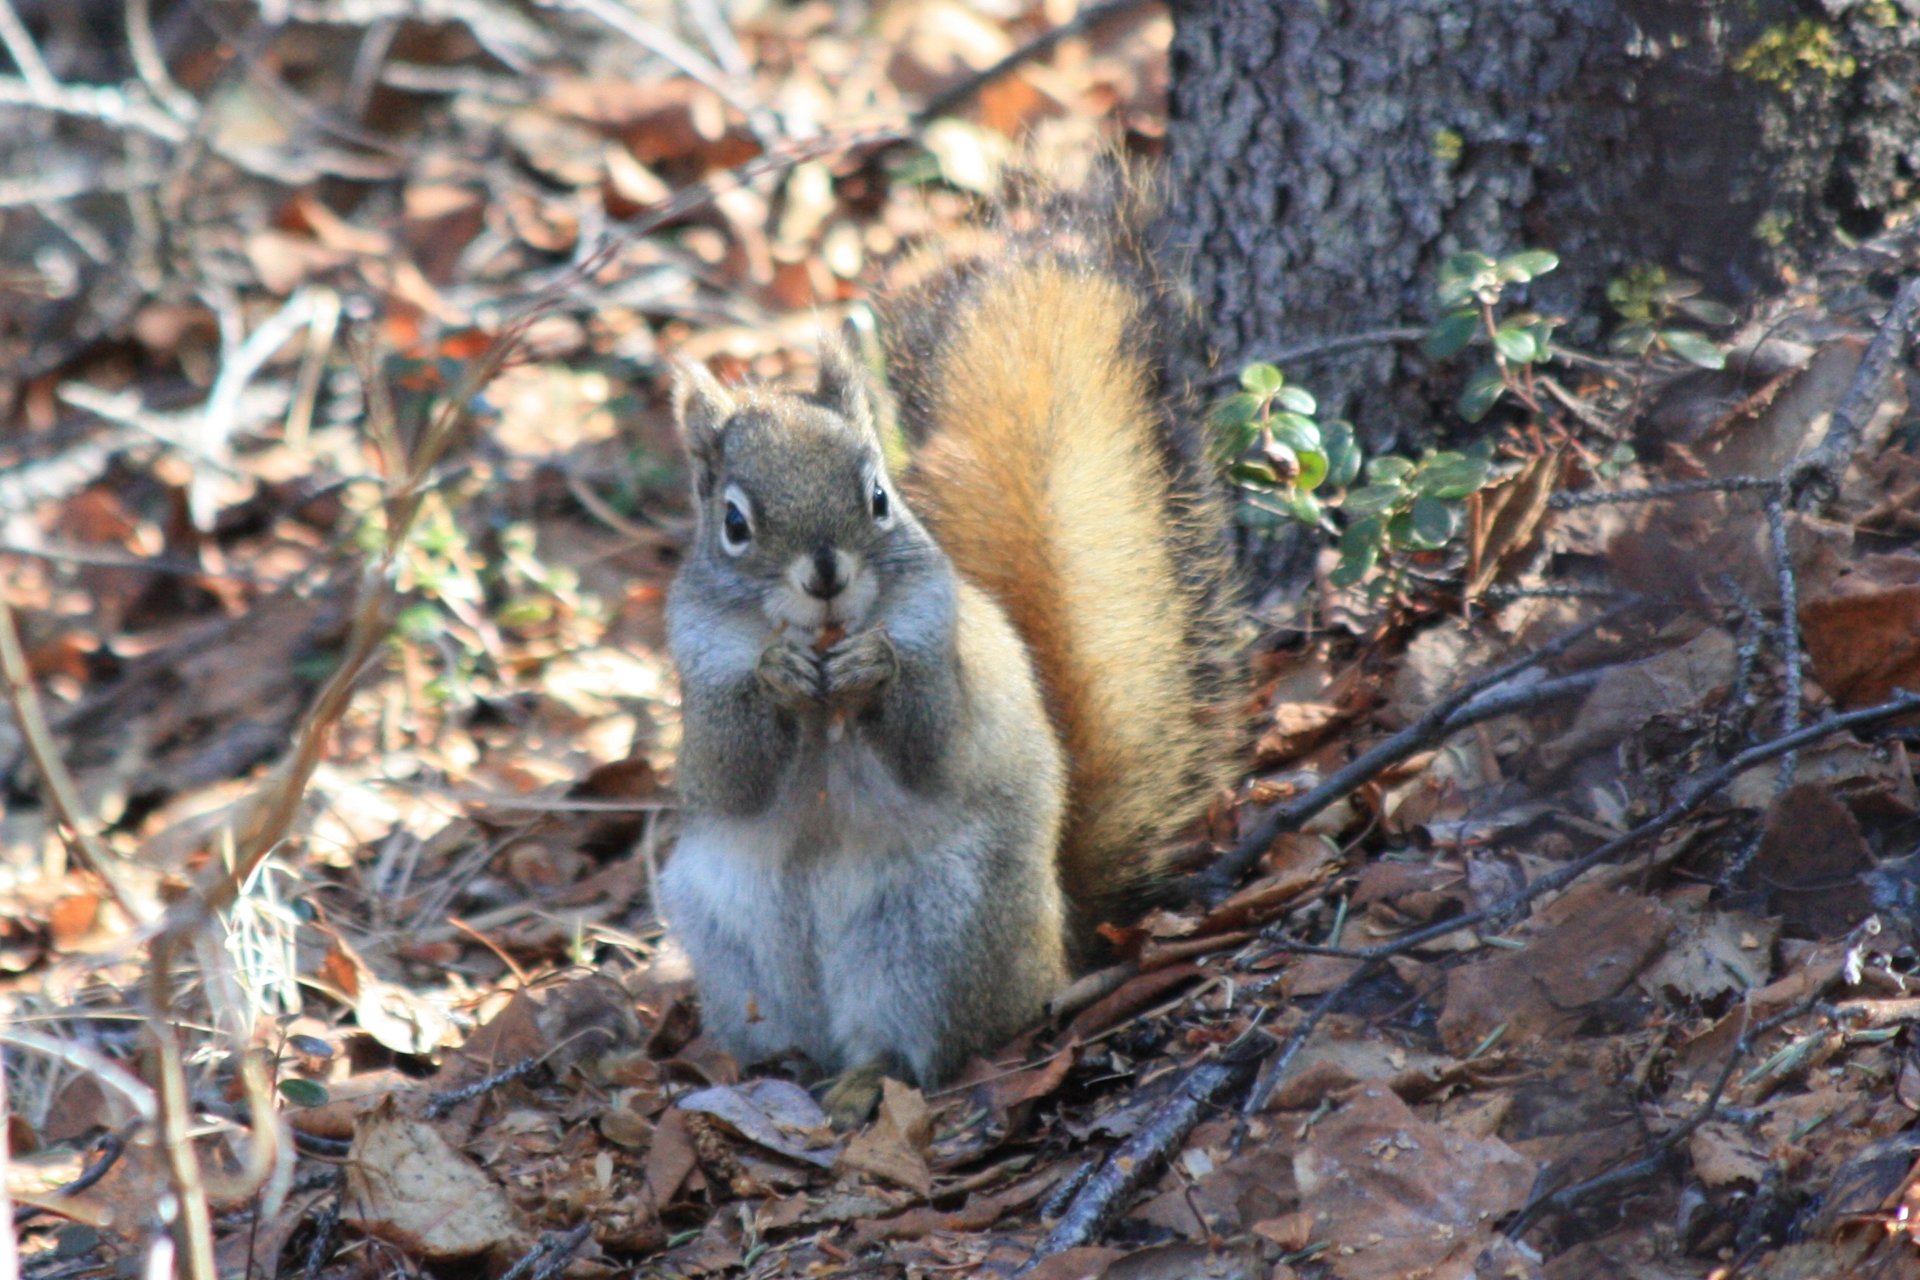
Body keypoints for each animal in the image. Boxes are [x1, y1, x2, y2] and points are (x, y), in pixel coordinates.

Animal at [657, 169, 1237, 1123]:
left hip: (935, 931)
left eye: (879, 495)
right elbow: (730, 773)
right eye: (735, 523)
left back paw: (864, 1078)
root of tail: (1061, 944)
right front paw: (776, 673)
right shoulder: (697, 665)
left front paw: (875, 666)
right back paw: (777, 1069)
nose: (825, 575)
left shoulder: (940, 633)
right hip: (731, 932)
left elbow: (931, 741)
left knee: (922, 1043)